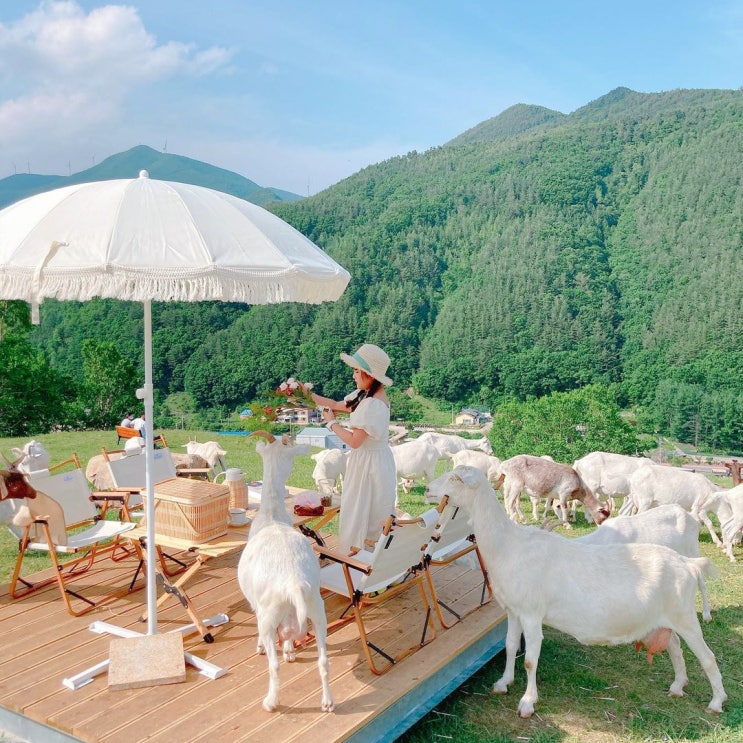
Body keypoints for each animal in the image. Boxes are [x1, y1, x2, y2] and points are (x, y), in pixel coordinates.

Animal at [430, 468, 728, 716]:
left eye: (455, 478)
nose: (429, 490)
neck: (509, 546)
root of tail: (688, 564)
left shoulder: (531, 614)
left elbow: (530, 660)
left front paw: (527, 702)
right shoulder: (513, 611)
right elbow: (510, 646)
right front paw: (504, 682)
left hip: (685, 617)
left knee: (708, 657)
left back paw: (716, 701)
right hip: (664, 620)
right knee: (675, 647)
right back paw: (678, 686)